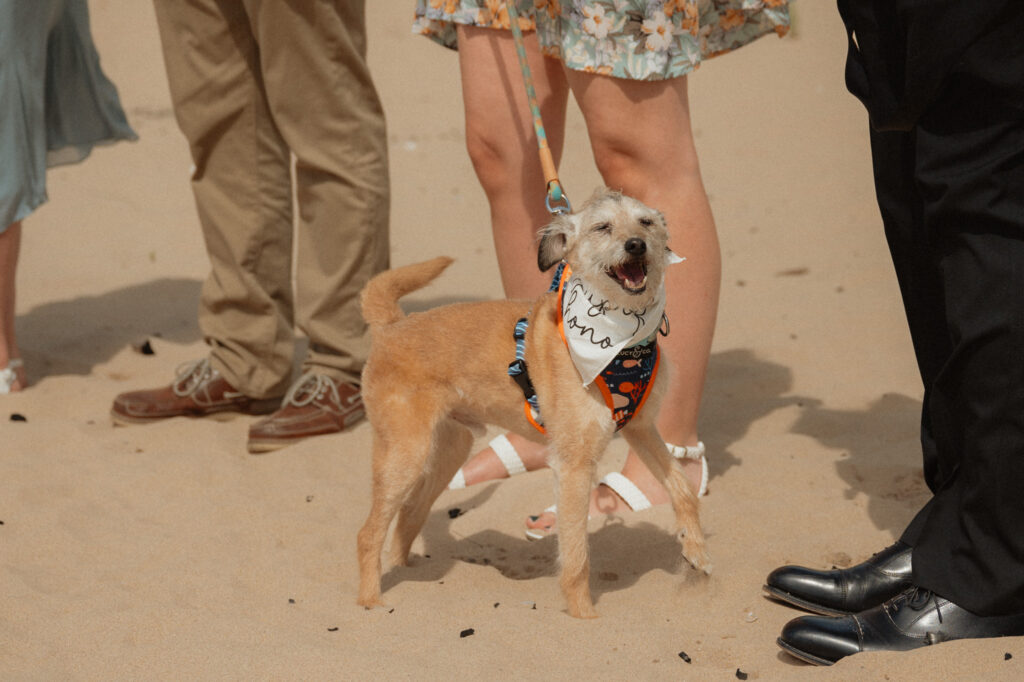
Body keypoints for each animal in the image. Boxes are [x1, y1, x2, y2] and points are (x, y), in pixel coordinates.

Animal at [356, 187, 708, 614]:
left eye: (646, 222)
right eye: (602, 227)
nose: (636, 245)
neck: (621, 344)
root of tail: (392, 325)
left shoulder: (641, 429)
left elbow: (682, 487)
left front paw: (696, 550)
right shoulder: (574, 466)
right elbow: (576, 553)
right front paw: (583, 615)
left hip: (449, 449)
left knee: (408, 514)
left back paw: (411, 573)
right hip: (404, 455)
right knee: (368, 533)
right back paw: (371, 601)